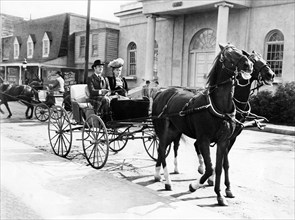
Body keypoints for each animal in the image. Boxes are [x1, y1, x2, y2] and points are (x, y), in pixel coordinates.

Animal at [153, 43, 254, 206]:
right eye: (228, 55)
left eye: (240, 51)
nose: (248, 65)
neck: (218, 106)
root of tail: (160, 93)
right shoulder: (204, 140)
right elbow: (209, 168)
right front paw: (194, 185)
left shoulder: (223, 141)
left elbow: (219, 167)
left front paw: (219, 195)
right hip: (162, 130)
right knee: (162, 150)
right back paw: (168, 181)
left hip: (173, 131)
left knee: (161, 150)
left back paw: (158, 175)